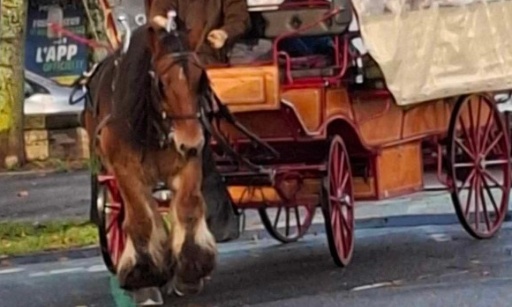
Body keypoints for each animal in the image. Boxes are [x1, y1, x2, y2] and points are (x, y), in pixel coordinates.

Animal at [81, 16, 216, 296]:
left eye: (201, 79)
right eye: (162, 84)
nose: (191, 141)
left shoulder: (187, 162)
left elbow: (187, 207)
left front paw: (192, 266)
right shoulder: (125, 169)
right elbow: (141, 218)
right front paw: (143, 271)